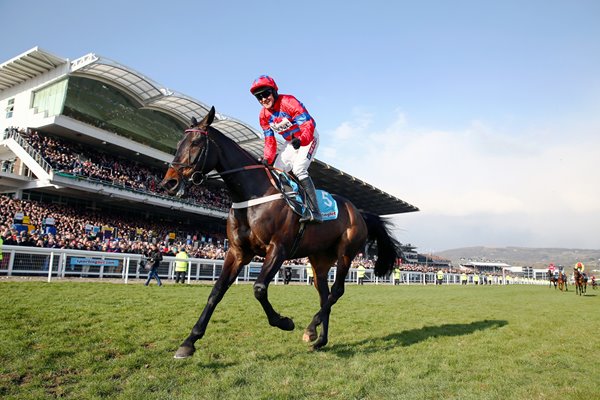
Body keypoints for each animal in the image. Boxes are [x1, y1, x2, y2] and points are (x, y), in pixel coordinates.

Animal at [159, 107, 404, 360]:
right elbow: (216, 292)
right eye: (178, 143)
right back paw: (320, 339)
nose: (169, 182)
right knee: (324, 293)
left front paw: (284, 321)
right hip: (320, 259)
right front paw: (189, 342)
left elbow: (259, 289)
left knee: (337, 291)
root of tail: (360, 212)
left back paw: (311, 328)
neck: (253, 194)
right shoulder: (237, 252)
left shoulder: (279, 248)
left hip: (346, 252)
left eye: (196, 143)